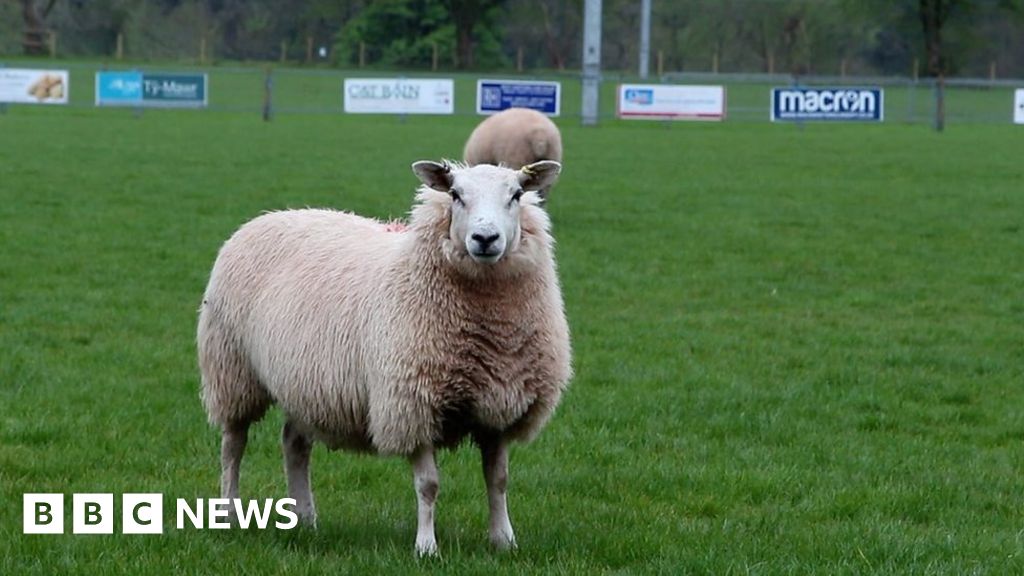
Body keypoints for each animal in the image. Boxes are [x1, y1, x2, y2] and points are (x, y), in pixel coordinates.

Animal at [197, 160, 572, 556]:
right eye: (455, 195)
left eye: (516, 195)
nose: (485, 239)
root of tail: (272, 215)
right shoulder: (411, 404)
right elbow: (428, 484)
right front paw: (426, 547)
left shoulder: (499, 403)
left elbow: (498, 479)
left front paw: (504, 540)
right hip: (231, 370)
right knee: (233, 446)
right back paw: (229, 514)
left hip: (305, 382)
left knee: (294, 444)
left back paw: (305, 518)